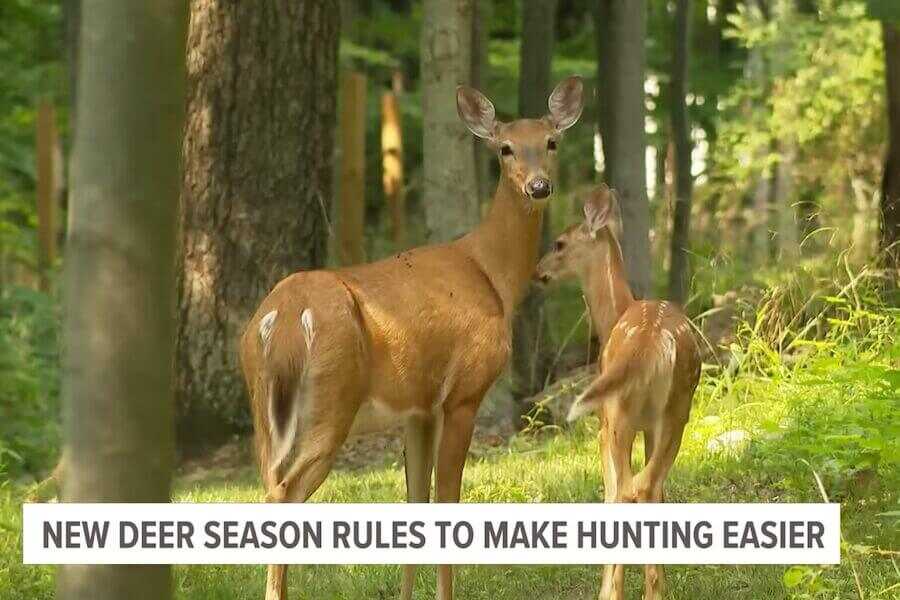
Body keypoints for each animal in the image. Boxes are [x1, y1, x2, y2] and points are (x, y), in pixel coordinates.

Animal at [238, 76, 584, 600]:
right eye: (504, 148)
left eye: (551, 141)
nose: (539, 186)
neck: (492, 274)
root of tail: (282, 317)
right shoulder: (463, 392)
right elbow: (447, 501)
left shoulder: (417, 408)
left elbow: (415, 500)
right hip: (330, 399)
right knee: (282, 495)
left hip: (263, 410)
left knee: (268, 485)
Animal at [535, 185, 701, 600]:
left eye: (560, 242)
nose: (538, 271)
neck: (614, 314)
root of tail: (652, 342)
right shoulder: (648, 427)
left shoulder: (601, 423)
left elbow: (610, 493)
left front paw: (608, 588)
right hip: (676, 412)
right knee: (650, 486)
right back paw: (655, 591)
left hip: (617, 415)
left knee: (628, 489)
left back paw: (616, 591)